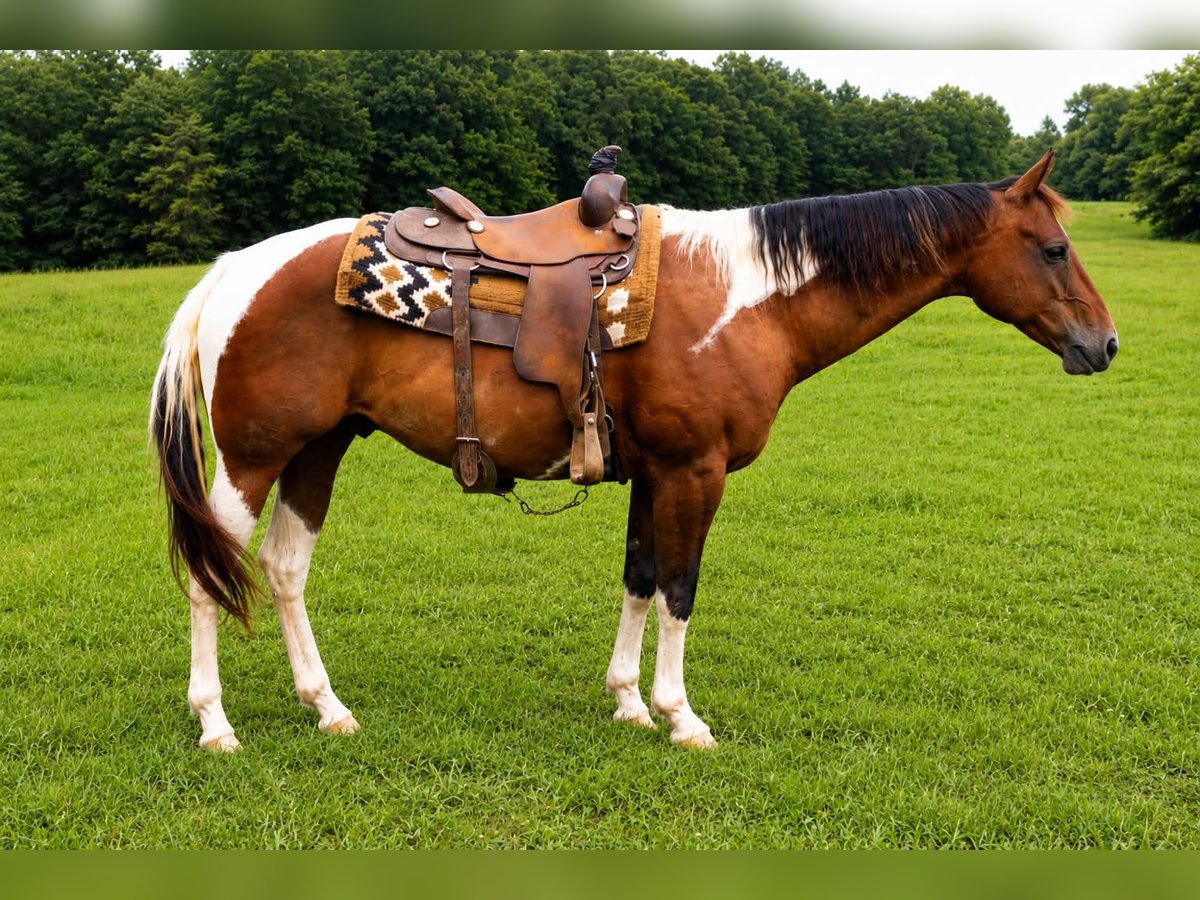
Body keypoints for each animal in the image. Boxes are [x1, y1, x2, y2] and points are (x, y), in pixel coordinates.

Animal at [151, 150, 1117, 751]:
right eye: (1054, 248)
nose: (1104, 345)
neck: (749, 296)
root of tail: (231, 270)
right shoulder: (696, 471)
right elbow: (681, 591)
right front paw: (679, 715)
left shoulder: (656, 473)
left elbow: (640, 579)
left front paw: (626, 702)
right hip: (250, 460)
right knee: (206, 574)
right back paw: (215, 724)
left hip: (317, 450)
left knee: (283, 568)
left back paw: (328, 708)